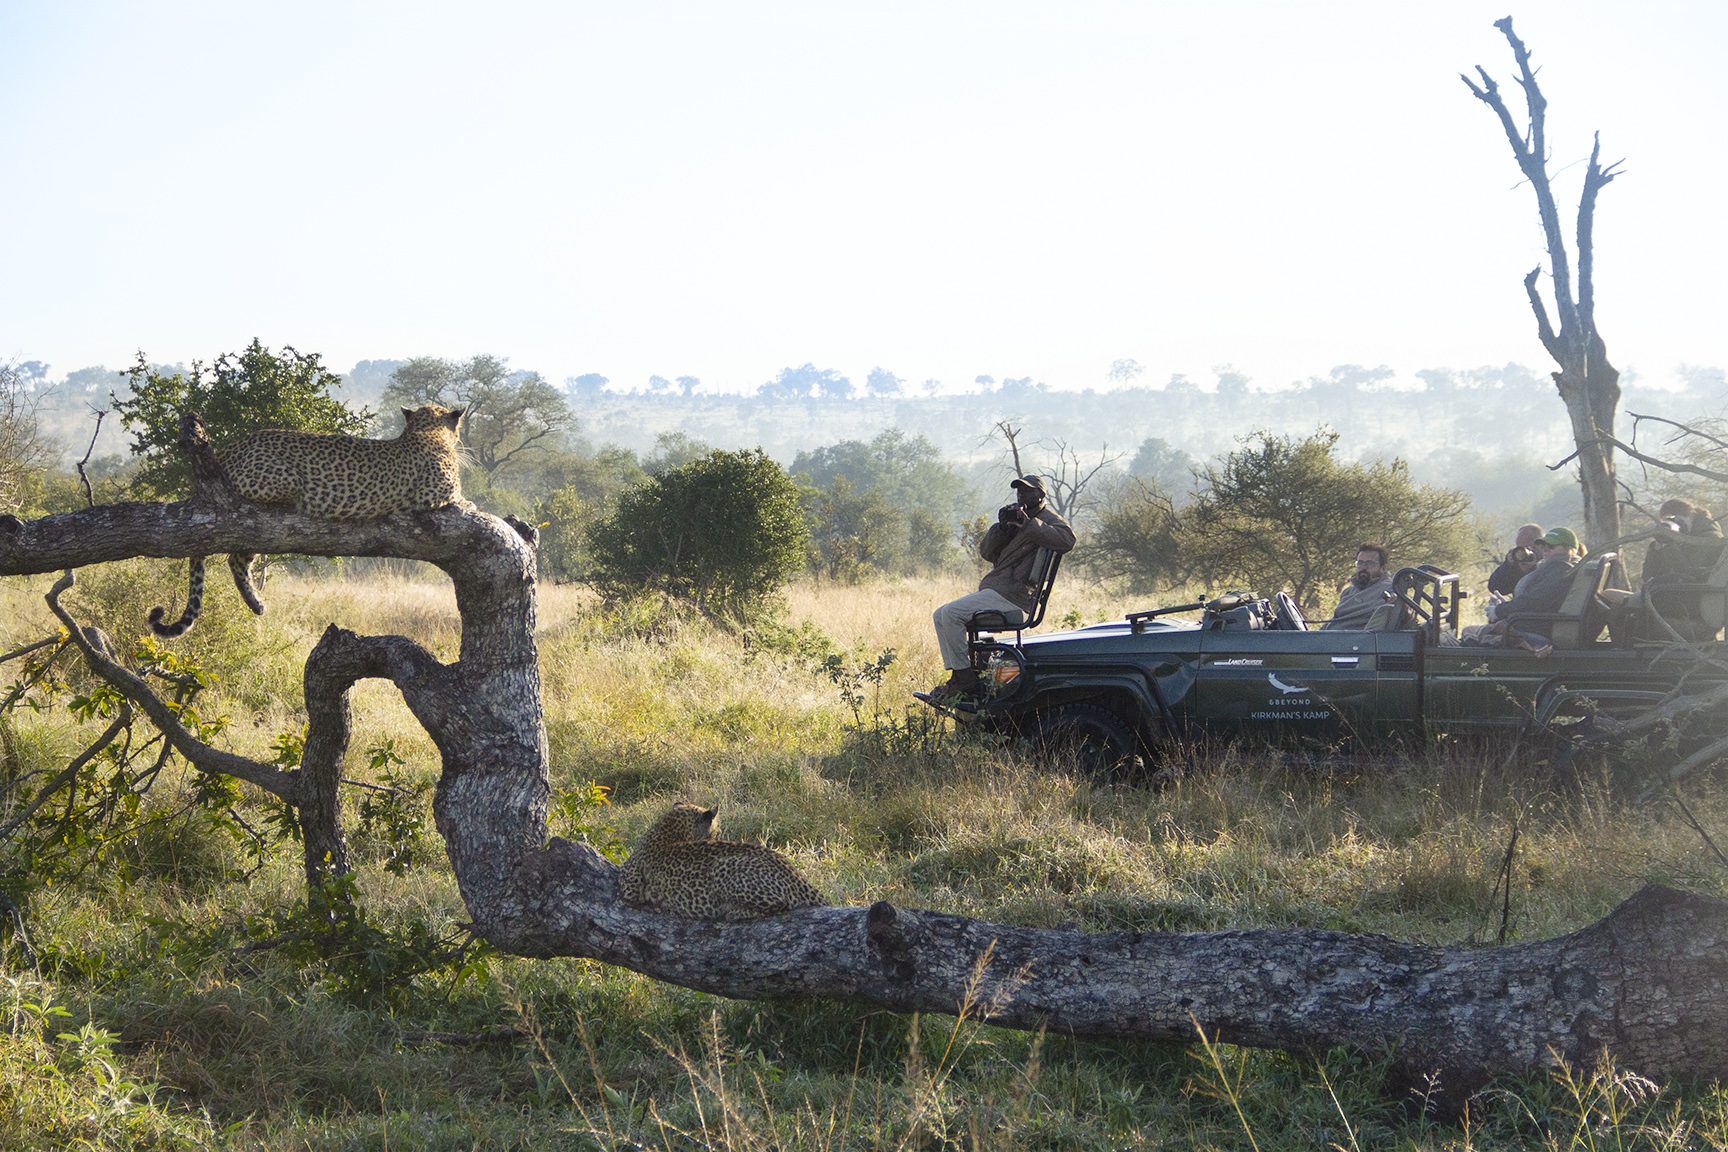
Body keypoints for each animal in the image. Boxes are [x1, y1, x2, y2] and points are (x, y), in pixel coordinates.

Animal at [150, 405, 466, 637]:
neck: (423, 431)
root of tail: (232, 447)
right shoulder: (438, 491)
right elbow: (463, 499)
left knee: (236, 559)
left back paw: (256, 604)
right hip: (280, 488)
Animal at [618, 802, 828, 920]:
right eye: (717, 831)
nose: (719, 836)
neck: (667, 830)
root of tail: (796, 875)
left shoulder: (629, 887)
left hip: (722, 867)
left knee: (779, 904)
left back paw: (732, 912)